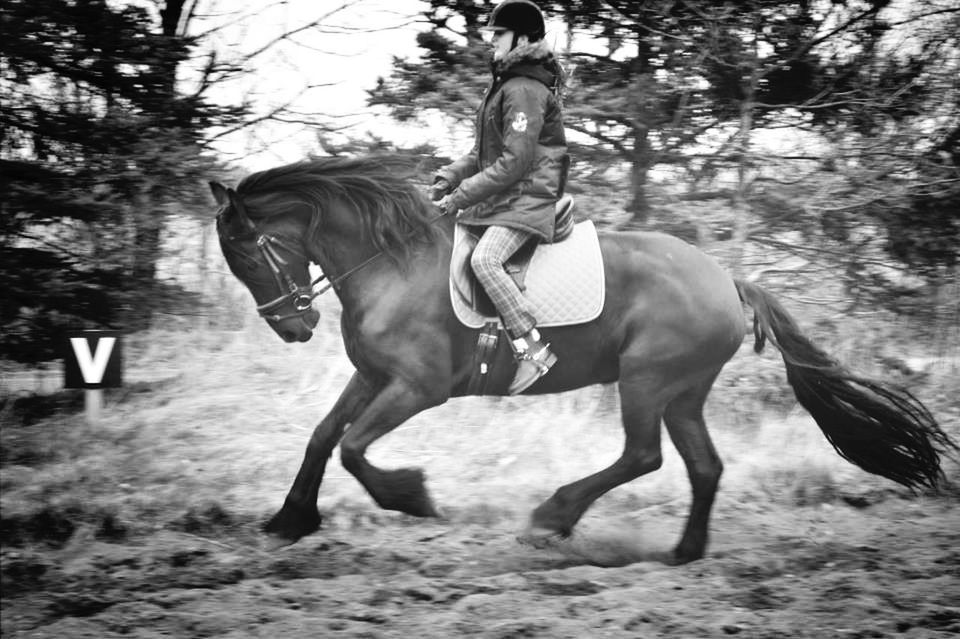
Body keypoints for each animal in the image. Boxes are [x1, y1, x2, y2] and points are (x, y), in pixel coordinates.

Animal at [208, 155, 952, 564]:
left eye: (249, 253)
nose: (294, 327)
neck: (392, 263)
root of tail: (727, 280)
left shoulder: (416, 387)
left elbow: (354, 449)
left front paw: (412, 496)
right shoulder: (374, 377)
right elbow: (322, 437)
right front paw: (290, 520)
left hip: (647, 380)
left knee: (643, 456)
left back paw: (553, 516)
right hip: (682, 391)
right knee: (703, 466)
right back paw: (681, 554)